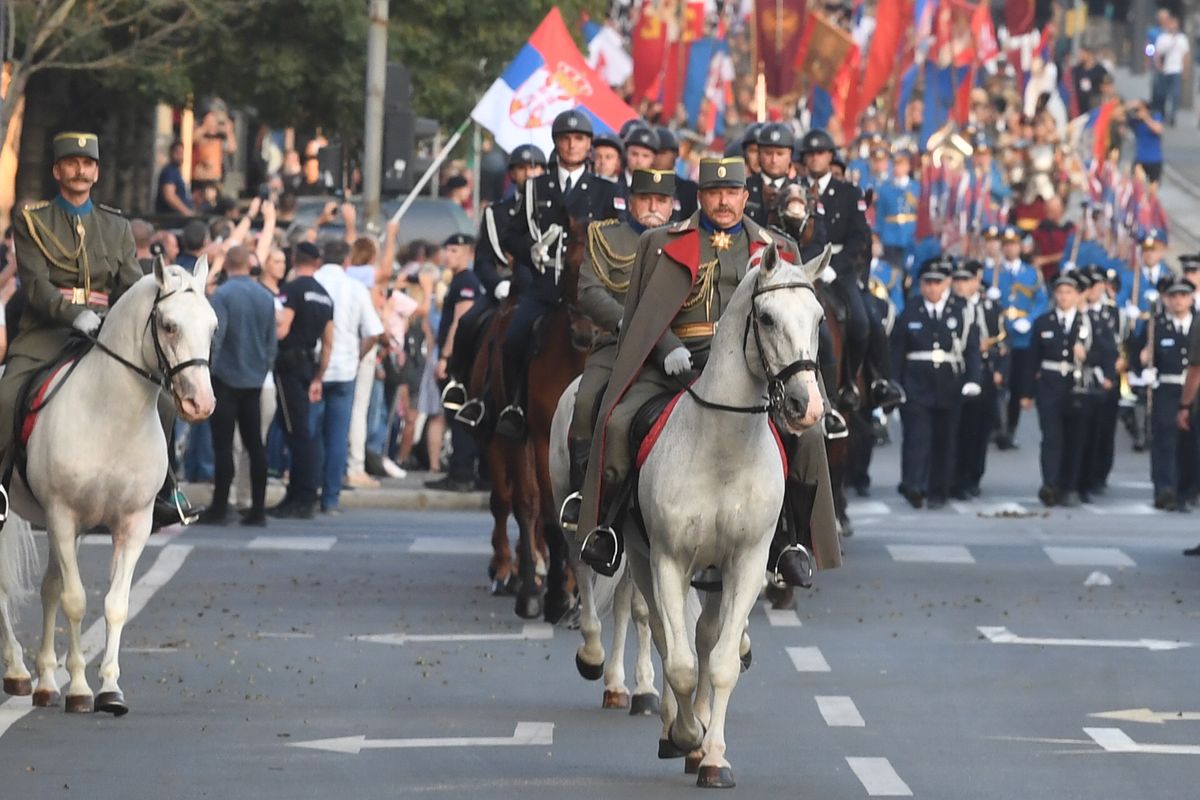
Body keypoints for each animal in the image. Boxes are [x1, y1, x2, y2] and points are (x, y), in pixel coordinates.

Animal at [0, 260, 218, 714]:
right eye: (169, 325)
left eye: (213, 327)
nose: (201, 404)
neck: (111, 416)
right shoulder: (63, 517)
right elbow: (76, 599)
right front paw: (81, 689)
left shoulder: (131, 524)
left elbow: (114, 604)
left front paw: (110, 690)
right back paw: (17, 671)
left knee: (48, 587)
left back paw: (45, 680)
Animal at [624, 244, 820, 786]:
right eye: (767, 317)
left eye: (819, 317)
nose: (807, 406)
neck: (723, 448)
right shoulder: (668, 560)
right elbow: (681, 662)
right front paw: (686, 736)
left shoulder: (747, 562)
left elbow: (722, 661)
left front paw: (712, 756)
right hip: (643, 559)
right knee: (666, 637)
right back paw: (674, 727)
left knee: (708, 638)